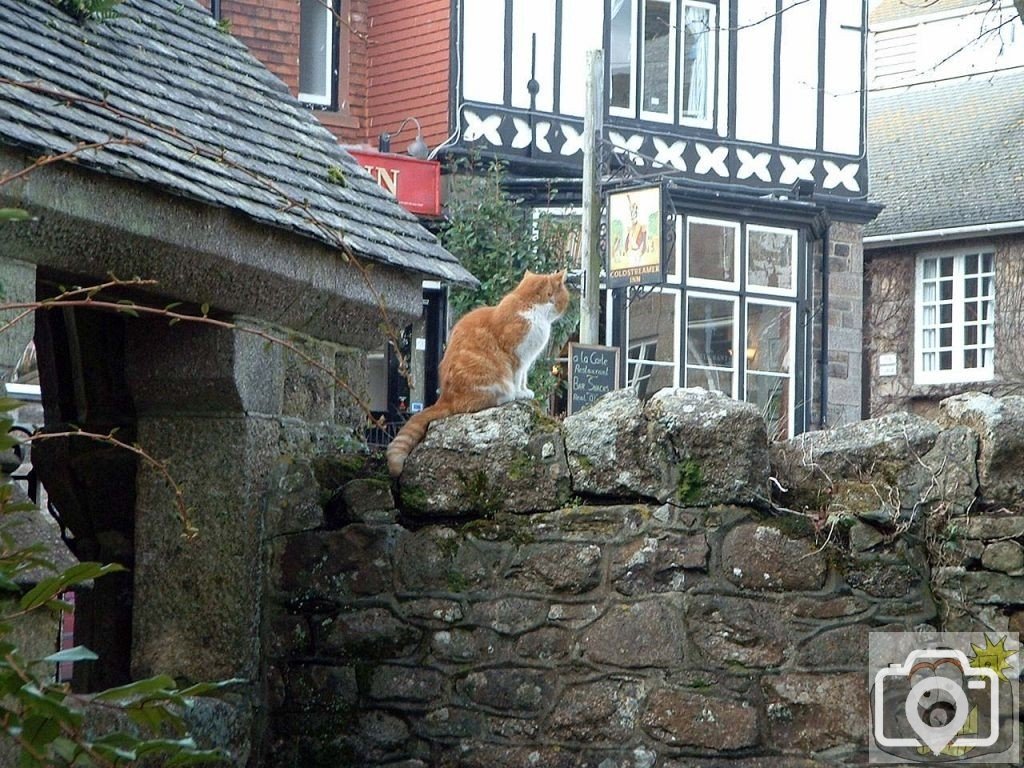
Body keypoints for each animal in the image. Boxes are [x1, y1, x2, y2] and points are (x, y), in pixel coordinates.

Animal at [387, 268, 573, 475]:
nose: (566, 306)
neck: (531, 307)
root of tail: (444, 398)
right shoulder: (517, 356)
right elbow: (517, 378)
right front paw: (520, 394)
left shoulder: (526, 360)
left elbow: (523, 378)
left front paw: (526, 391)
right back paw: (507, 396)